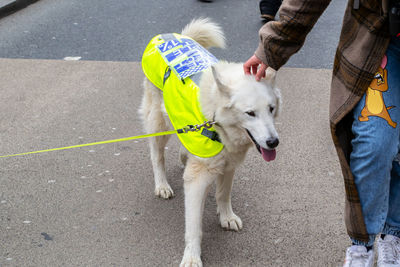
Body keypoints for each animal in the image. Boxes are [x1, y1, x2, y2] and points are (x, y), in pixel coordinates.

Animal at [141, 17, 282, 266]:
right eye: (250, 113)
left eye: (271, 109)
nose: (273, 142)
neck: (217, 123)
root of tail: (175, 36)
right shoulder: (196, 181)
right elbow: (194, 227)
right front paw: (191, 256)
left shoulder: (228, 165)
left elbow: (223, 194)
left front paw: (226, 217)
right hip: (158, 122)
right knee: (157, 157)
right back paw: (162, 185)